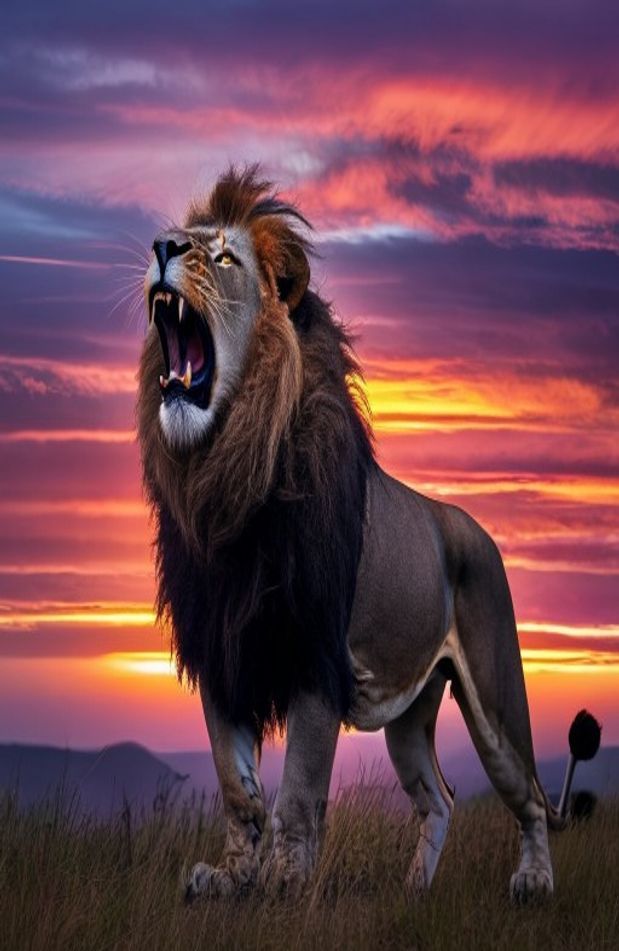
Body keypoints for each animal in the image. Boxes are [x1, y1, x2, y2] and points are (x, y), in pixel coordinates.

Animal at [137, 165, 565, 904]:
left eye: (223, 257)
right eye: (184, 238)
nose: (164, 245)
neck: (225, 477)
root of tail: (473, 527)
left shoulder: (317, 654)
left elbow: (299, 791)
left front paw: (283, 882)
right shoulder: (222, 649)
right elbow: (235, 784)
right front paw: (231, 875)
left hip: (496, 690)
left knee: (530, 792)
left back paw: (532, 882)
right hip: (410, 715)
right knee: (439, 797)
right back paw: (413, 891)